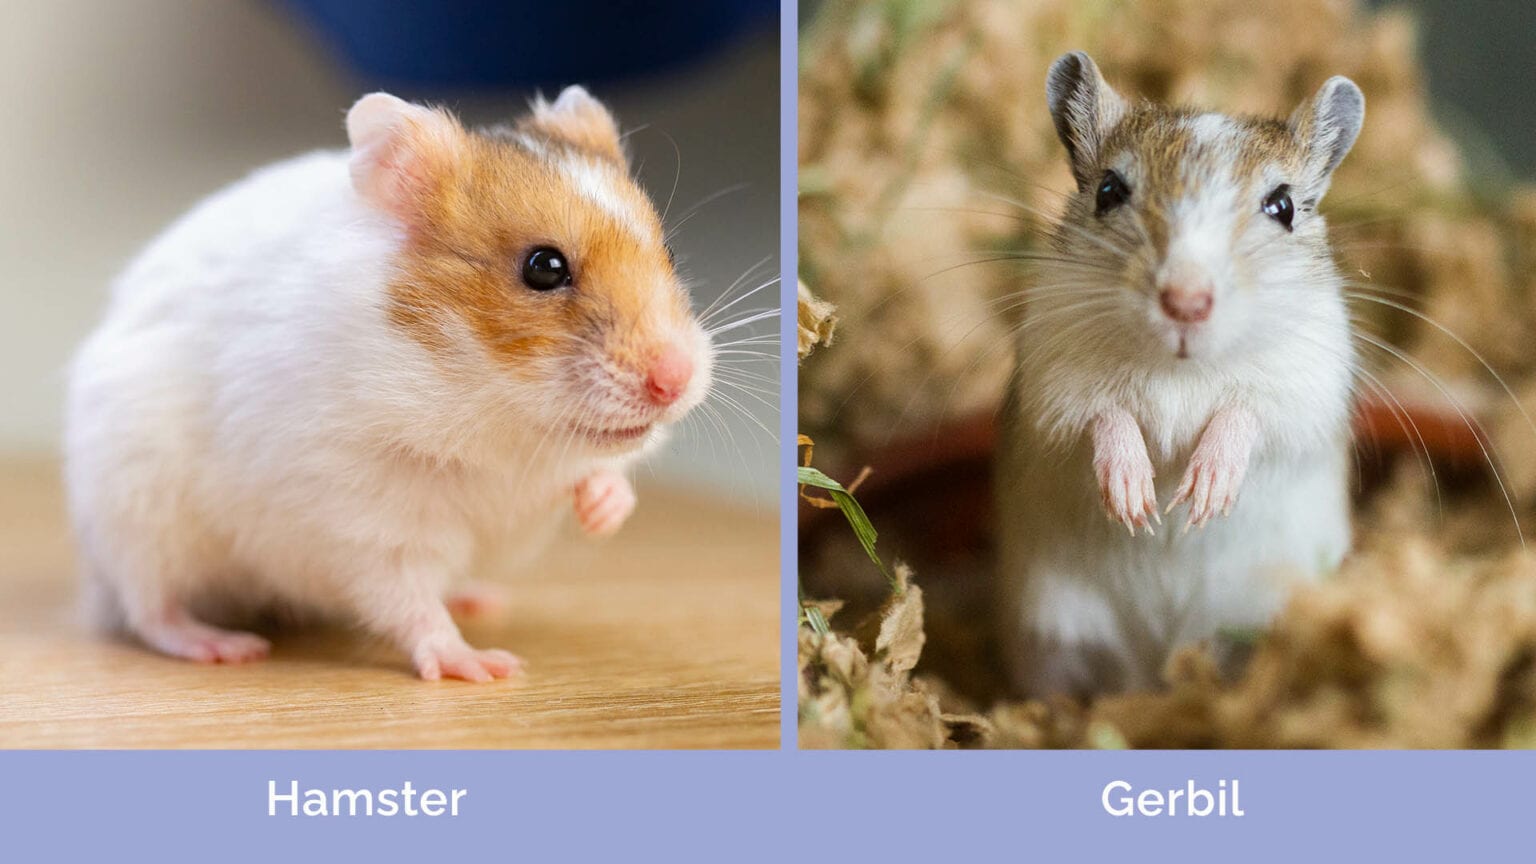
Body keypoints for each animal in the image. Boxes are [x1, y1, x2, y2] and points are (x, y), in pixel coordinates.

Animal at [64, 87, 713, 681]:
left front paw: (602, 510)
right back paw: (226, 646)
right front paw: (484, 668)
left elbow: (597, 473)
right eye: (544, 267)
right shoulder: (359, 518)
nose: (675, 379)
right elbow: (405, 599)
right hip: (136, 513)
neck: (488, 414)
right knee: (149, 608)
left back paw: (480, 600)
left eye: (670, 253)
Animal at [994, 53, 1364, 698]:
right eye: (1110, 191)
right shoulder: (1053, 381)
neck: (1180, 367)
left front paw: (1200, 500)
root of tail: (1152, 669)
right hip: (1049, 631)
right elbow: (1104, 415)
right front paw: (1136, 505)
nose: (1186, 302)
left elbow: (1246, 414)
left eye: (1283, 207)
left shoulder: (1305, 386)